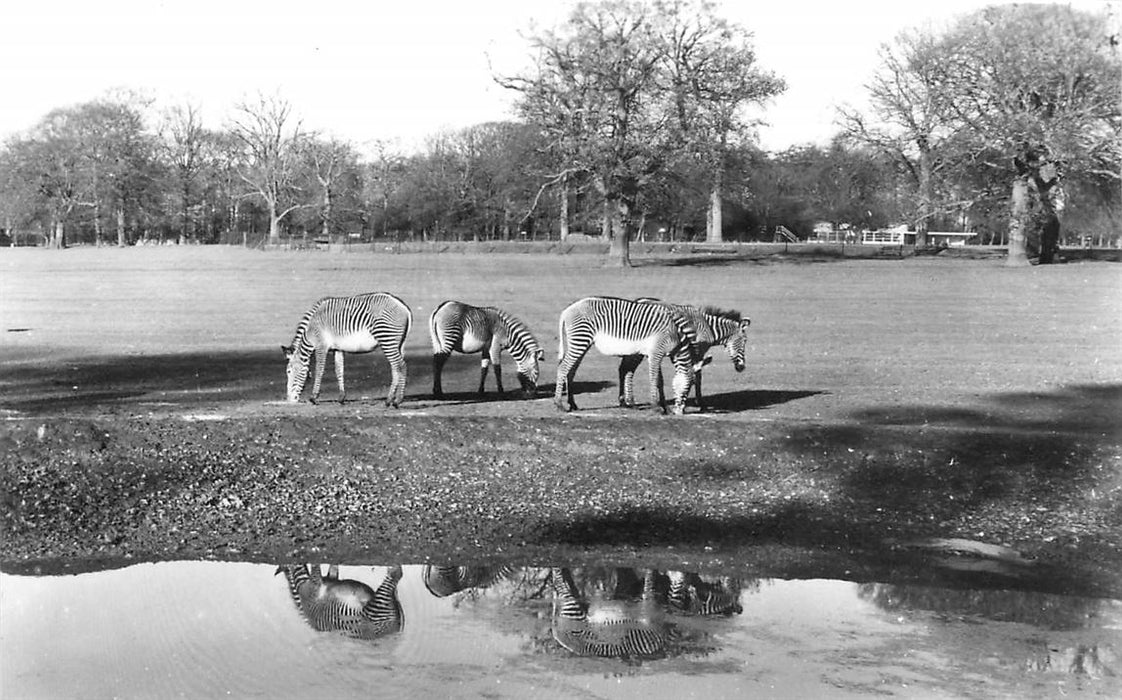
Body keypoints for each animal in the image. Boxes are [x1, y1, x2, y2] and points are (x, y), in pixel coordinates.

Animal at [274, 563, 406, 641]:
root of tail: (397, 627)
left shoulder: (320, 584)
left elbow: (331, 569)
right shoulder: (314, 588)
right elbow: (317, 569)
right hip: (375, 609)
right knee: (395, 576)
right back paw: (393, 567)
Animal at [282, 291, 415, 410]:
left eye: (289, 371)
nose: (289, 400)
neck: (310, 331)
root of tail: (403, 307)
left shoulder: (321, 346)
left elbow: (319, 370)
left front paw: (313, 397)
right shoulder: (338, 349)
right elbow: (339, 370)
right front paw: (341, 398)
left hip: (387, 338)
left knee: (401, 366)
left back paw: (397, 401)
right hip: (398, 343)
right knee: (395, 368)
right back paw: (389, 400)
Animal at [554, 291, 700, 412]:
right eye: (688, 388)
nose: (679, 412)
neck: (676, 335)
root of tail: (567, 310)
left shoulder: (653, 354)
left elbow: (659, 381)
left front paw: (664, 406)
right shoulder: (656, 353)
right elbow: (655, 379)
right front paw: (657, 407)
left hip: (581, 342)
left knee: (571, 370)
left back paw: (572, 404)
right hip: (581, 339)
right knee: (563, 367)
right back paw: (559, 404)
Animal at [619, 298, 749, 410]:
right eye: (745, 341)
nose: (741, 367)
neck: (709, 328)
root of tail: (639, 300)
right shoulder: (698, 352)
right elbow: (697, 376)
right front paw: (698, 402)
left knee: (625, 369)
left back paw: (626, 402)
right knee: (627, 369)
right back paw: (628, 401)